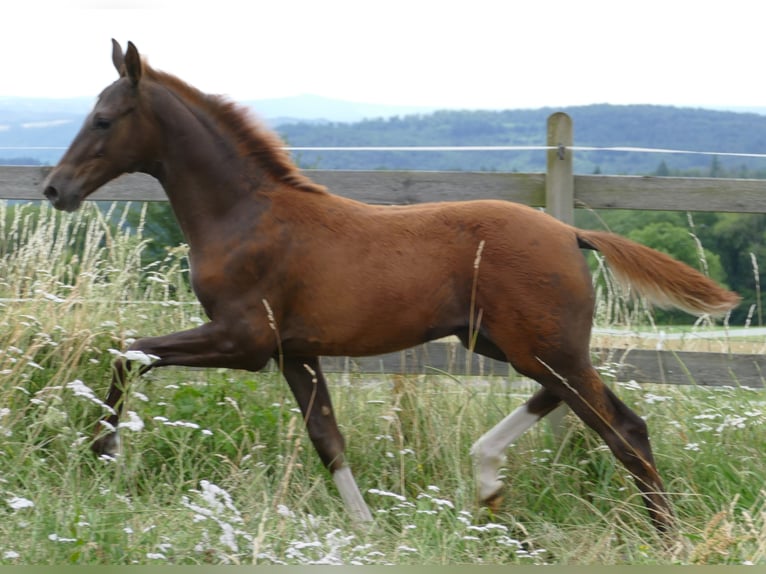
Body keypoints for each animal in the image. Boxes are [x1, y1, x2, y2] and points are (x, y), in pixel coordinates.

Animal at [43, 40, 740, 533]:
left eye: (103, 119)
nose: (55, 188)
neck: (244, 215)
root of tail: (570, 233)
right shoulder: (294, 351)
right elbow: (327, 438)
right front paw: (368, 530)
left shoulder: (244, 341)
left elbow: (130, 350)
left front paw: (105, 455)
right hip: (514, 343)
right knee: (570, 398)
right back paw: (487, 477)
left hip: (540, 346)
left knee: (624, 427)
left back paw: (666, 537)